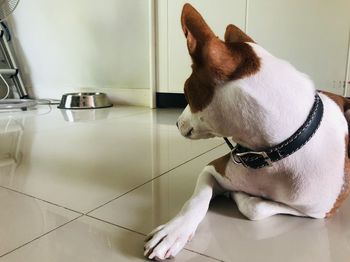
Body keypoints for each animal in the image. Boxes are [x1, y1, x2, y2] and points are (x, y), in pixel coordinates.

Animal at [144, 3, 350, 260]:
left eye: (186, 93)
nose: (176, 123)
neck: (274, 153)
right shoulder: (213, 168)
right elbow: (198, 200)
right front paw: (175, 230)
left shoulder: (319, 212)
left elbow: (257, 207)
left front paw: (241, 195)